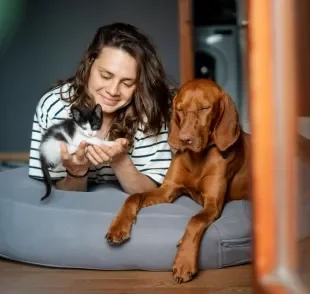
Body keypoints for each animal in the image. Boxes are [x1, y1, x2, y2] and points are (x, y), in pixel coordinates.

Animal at [105, 78, 251, 282]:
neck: (199, 157)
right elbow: (133, 197)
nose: (185, 139)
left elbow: (195, 220)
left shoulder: (213, 204)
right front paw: (119, 226)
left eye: (205, 108)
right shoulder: (167, 190)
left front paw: (184, 262)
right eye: (180, 109)